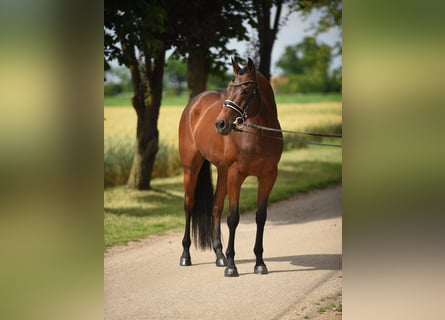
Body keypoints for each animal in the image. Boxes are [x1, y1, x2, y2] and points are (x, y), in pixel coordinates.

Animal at [177, 58, 280, 278]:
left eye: (245, 90)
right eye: (229, 89)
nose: (220, 124)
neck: (258, 133)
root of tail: (194, 103)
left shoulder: (268, 176)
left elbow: (261, 217)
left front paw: (260, 263)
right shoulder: (236, 175)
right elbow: (233, 218)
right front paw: (232, 266)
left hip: (222, 171)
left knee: (216, 207)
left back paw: (219, 256)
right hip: (191, 168)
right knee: (189, 205)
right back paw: (186, 256)